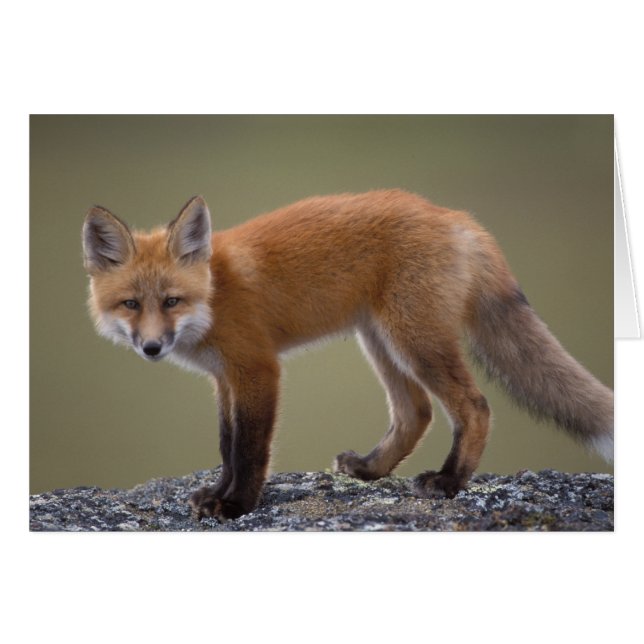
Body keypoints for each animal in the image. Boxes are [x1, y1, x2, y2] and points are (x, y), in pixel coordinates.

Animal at [82, 190, 614, 520]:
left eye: (171, 301)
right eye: (131, 304)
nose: (152, 346)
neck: (215, 294)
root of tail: (455, 217)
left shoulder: (258, 369)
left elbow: (250, 450)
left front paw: (237, 506)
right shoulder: (225, 378)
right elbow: (227, 447)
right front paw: (217, 493)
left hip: (414, 341)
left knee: (474, 406)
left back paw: (449, 481)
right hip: (378, 340)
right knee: (415, 412)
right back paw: (371, 470)